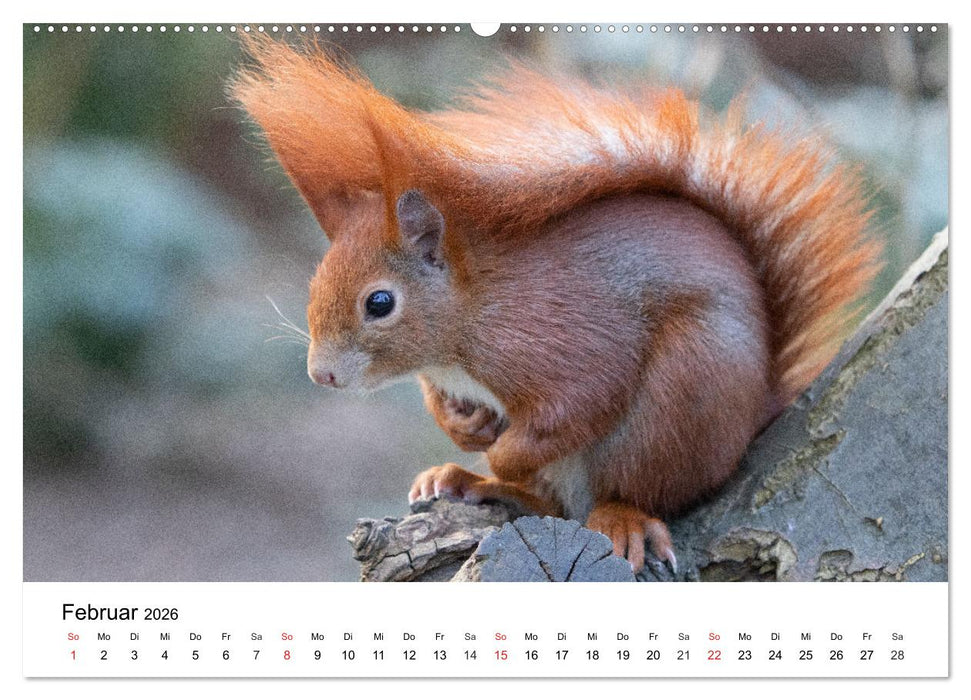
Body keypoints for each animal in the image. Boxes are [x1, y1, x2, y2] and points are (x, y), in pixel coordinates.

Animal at [231, 37, 881, 572]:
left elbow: (577, 404)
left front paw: (502, 451)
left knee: (629, 490)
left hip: (683, 397)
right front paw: (463, 429)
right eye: (315, 283)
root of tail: (754, 414)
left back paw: (610, 513)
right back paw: (466, 480)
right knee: (551, 503)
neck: (466, 323)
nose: (321, 374)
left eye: (380, 302)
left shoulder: (559, 339)